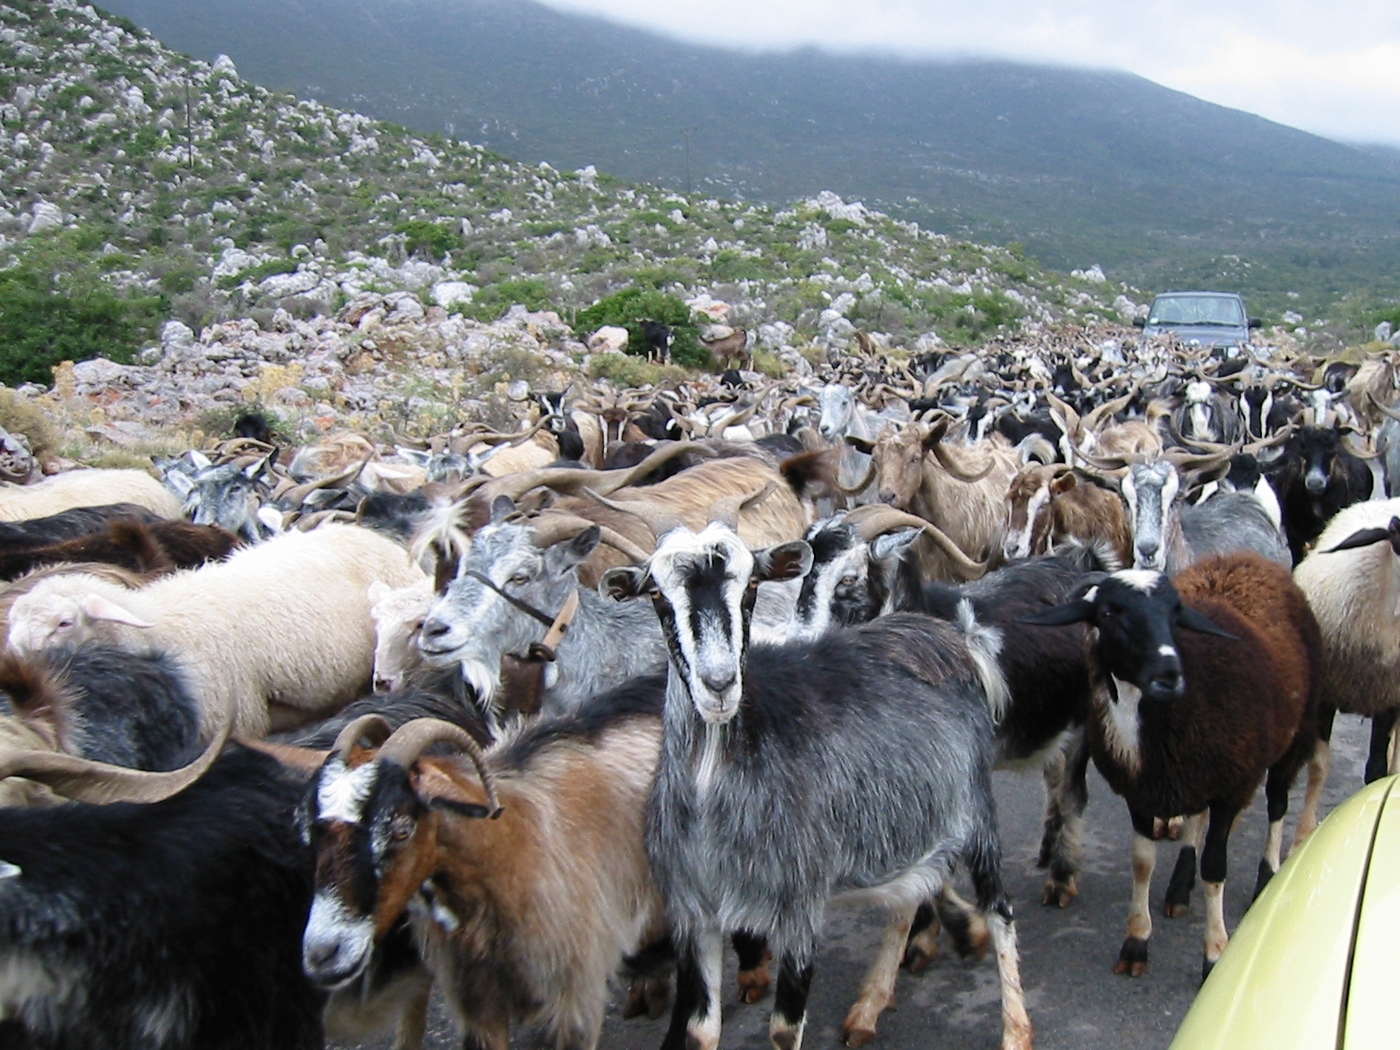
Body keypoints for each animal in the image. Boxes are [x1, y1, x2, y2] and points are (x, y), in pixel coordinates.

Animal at [601, 497, 1032, 1050]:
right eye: (655, 592)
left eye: (751, 586)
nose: (719, 684)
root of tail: (943, 635)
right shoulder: (694, 915)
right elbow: (700, 1030)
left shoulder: (798, 910)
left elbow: (785, 1029)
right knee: (910, 894)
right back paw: (869, 1007)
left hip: (976, 811)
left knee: (1000, 909)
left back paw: (1015, 1031)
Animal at [1020, 554, 1322, 979]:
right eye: (1108, 613)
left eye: (1175, 613)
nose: (1169, 676)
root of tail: (1246, 558)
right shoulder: (1143, 790)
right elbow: (1142, 863)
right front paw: (1136, 943)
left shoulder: (1231, 788)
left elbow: (1215, 868)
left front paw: (1214, 954)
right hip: (1194, 775)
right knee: (1195, 819)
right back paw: (1180, 888)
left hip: (1296, 733)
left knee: (1277, 805)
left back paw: (1267, 876)